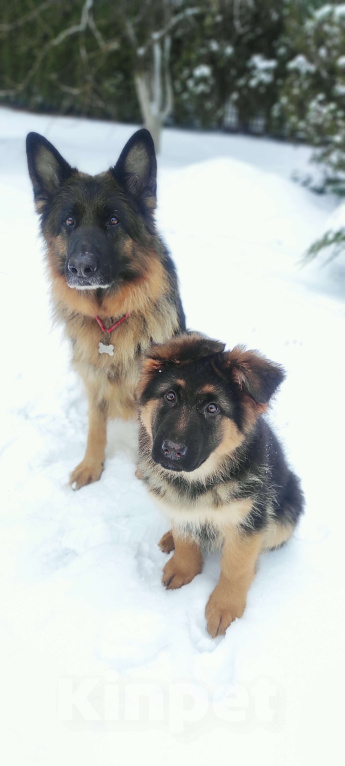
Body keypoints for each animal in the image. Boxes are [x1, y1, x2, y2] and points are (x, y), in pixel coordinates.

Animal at [26, 130, 185, 492]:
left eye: (113, 221)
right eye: (69, 221)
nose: (81, 269)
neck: (110, 322)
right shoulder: (94, 378)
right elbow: (96, 426)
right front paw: (91, 465)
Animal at [137, 332, 304, 640]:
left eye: (212, 409)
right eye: (170, 396)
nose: (171, 451)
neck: (200, 481)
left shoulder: (248, 520)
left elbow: (235, 567)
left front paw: (225, 608)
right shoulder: (178, 505)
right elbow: (186, 539)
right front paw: (184, 568)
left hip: (286, 513)